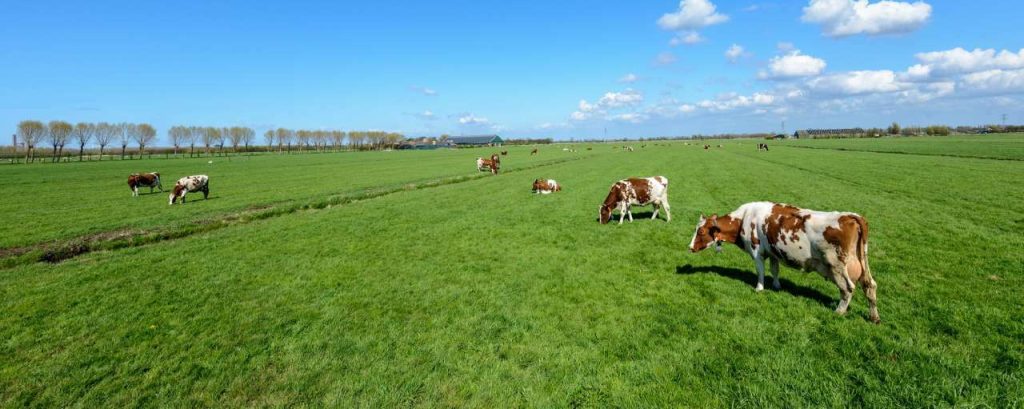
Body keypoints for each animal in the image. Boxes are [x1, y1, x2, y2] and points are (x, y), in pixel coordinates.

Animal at [687, 202, 878, 323]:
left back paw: (839, 312)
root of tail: (851, 216)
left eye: (701, 231)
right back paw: (874, 317)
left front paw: (759, 288)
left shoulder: (756, 251)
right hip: (862, 263)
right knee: (870, 285)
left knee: (847, 288)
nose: (689, 247)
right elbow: (775, 269)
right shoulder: (773, 252)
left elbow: (760, 271)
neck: (744, 218)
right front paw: (777, 286)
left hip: (836, 265)